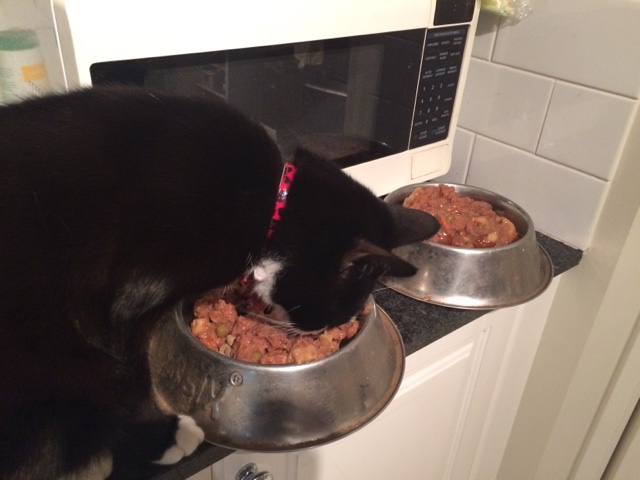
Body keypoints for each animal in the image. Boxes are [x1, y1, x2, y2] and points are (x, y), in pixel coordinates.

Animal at [0, 86, 440, 479]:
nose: (316, 331)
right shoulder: (124, 305)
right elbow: (135, 379)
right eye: (334, 311)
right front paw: (161, 438)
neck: (271, 204)